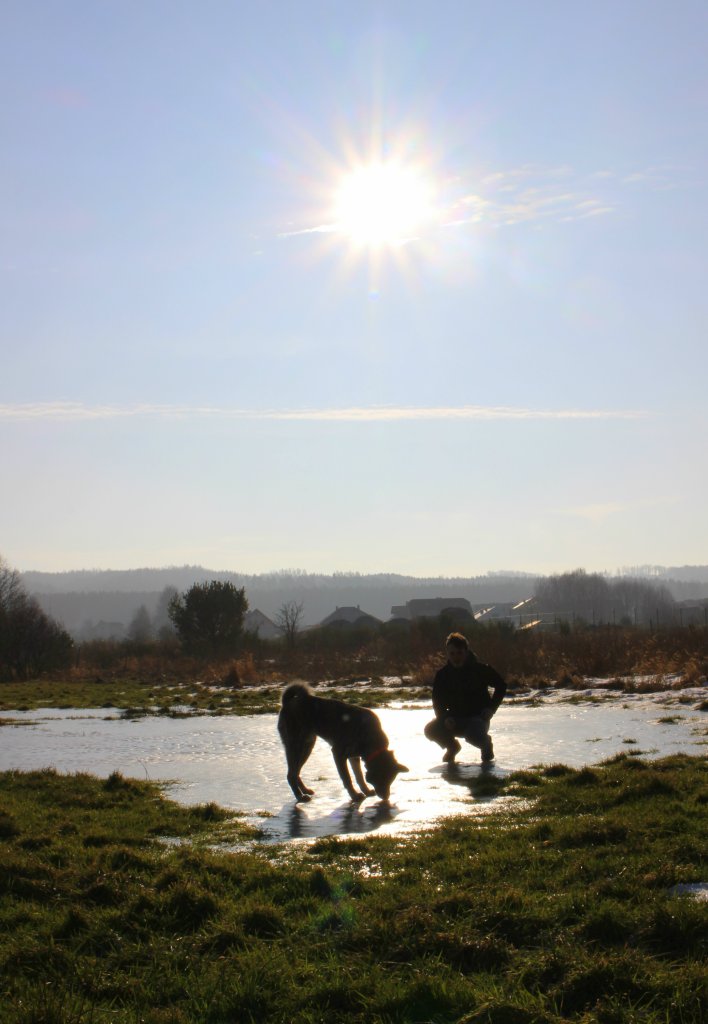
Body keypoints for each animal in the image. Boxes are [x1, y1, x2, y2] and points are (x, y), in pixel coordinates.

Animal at [276, 684, 409, 802]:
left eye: (391, 780)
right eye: (383, 779)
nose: (386, 798)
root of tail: (287, 703)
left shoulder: (354, 757)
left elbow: (359, 776)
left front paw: (365, 790)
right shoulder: (338, 754)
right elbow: (347, 778)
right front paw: (354, 795)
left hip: (307, 747)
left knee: (296, 772)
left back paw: (305, 790)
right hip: (296, 746)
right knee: (291, 774)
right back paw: (300, 796)